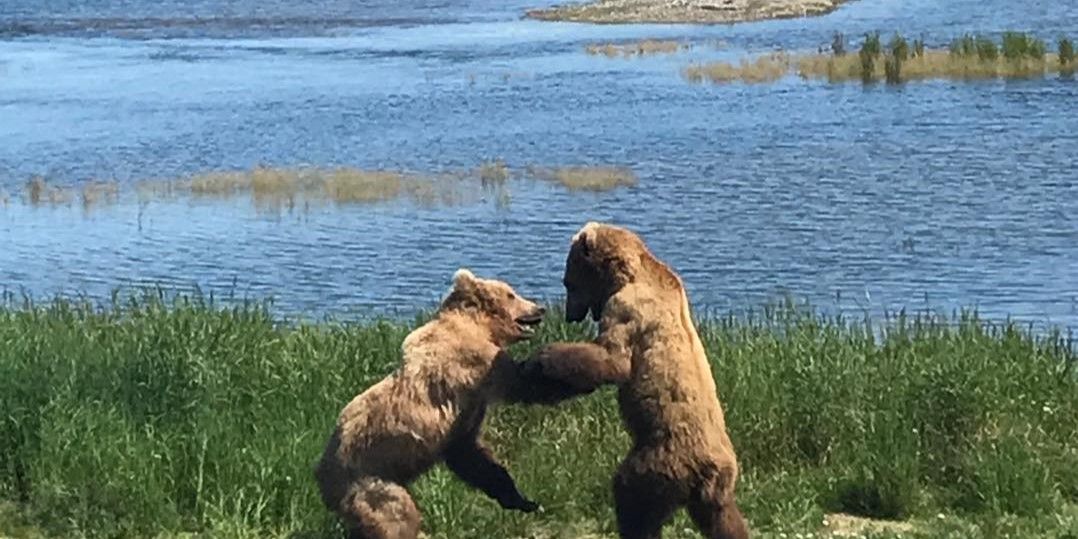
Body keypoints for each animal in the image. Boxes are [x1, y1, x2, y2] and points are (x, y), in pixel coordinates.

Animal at [314, 269, 560, 539]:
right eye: (511, 294)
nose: (540, 307)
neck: (478, 328)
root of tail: (321, 478)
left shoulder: (465, 417)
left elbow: (471, 455)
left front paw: (521, 499)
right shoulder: (474, 364)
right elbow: (521, 384)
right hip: (372, 483)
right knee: (398, 518)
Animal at [521, 222, 750, 539]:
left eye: (568, 282)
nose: (570, 315)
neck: (626, 276)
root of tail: (708, 468)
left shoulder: (628, 308)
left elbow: (612, 358)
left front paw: (541, 359)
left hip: (661, 459)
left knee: (632, 496)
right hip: (718, 488)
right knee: (724, 520)